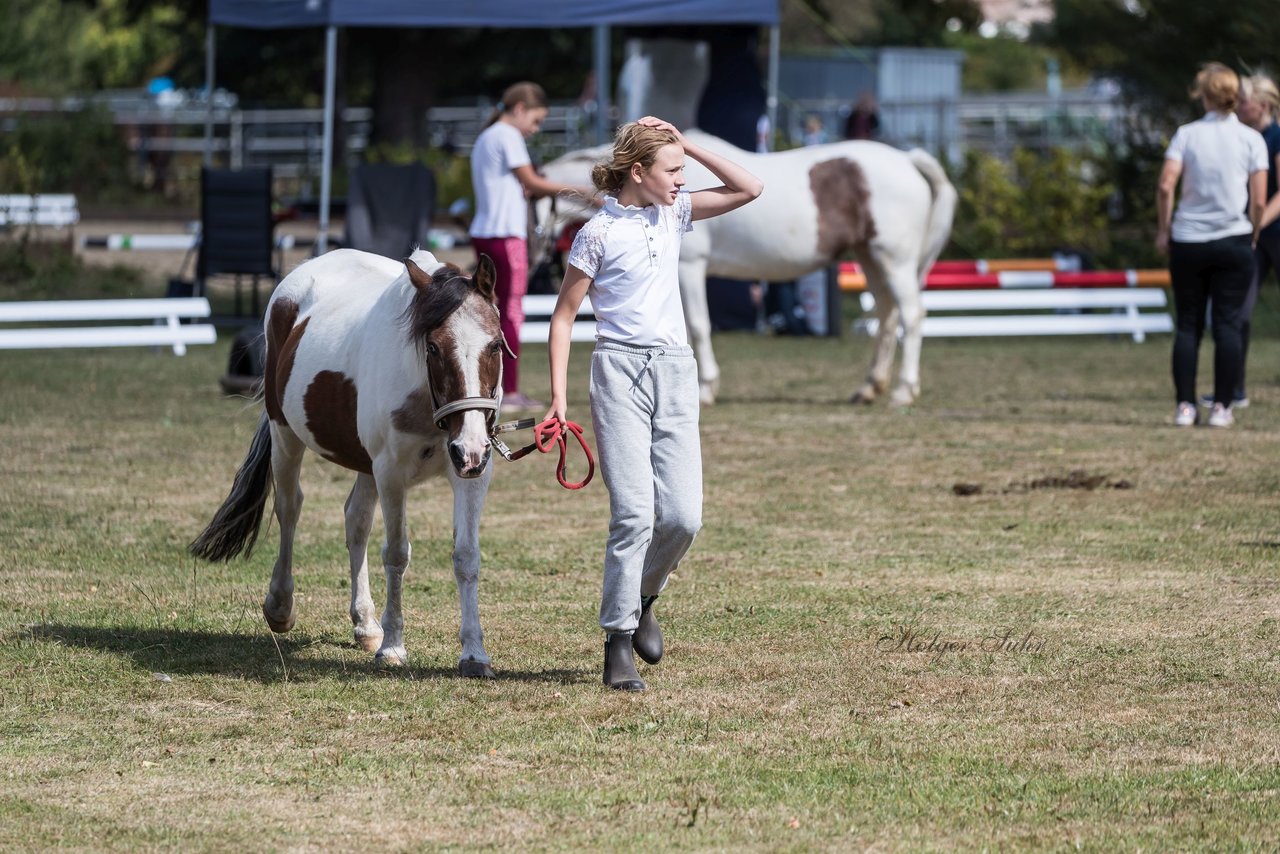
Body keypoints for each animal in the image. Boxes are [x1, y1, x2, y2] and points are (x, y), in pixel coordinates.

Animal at [192, 250, 506, 676]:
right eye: (434, 347)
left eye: (496, 345)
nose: (470, 448)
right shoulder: (391, 472)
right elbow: (396, 554)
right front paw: (393, 647)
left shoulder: (472, 473)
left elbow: (466, 556)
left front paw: (474, 653)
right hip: (285, 435)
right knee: (289, 509)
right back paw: (280, 606)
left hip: (366, 465)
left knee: (355, 521)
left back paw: (364, 623)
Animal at [535, 130, 957, 407]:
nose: (536, 249)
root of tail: (908, 160)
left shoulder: (690, 268)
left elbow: (699, 326)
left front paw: (706, 389)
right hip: (870, 257)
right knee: (887, 315)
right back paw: (869, 387)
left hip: (894, 259)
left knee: (911, 315)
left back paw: (902, 391)